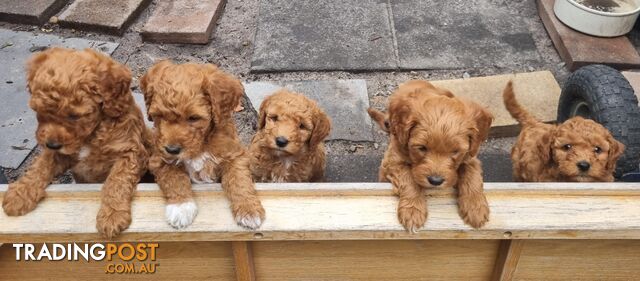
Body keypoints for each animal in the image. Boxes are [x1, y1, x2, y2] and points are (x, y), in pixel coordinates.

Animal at [1, 47, 149, 236]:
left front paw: (112, 215)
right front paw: (20, 193)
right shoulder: (60, 153)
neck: (90, 135)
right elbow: (41, 166)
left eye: (74, 116)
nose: (52, 144)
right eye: (38, 111)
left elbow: (117, 180)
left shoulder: (131, 151)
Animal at [141, 60, 264, 229]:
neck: (201, 145)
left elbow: (239, 179)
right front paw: (181, 207)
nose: (172, 149)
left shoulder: (235, 154)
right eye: (159, 115)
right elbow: (174, 178)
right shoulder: (159, 159)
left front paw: (249, 209)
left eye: (193, 118)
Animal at [368, 79, 492, 232]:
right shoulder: (392, 161)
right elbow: (407, 177)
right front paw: (413, 210)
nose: (435, 181)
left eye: (455, 151)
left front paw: (476, 207)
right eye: (422, 148)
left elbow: (472, 174)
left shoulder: (471, 156)